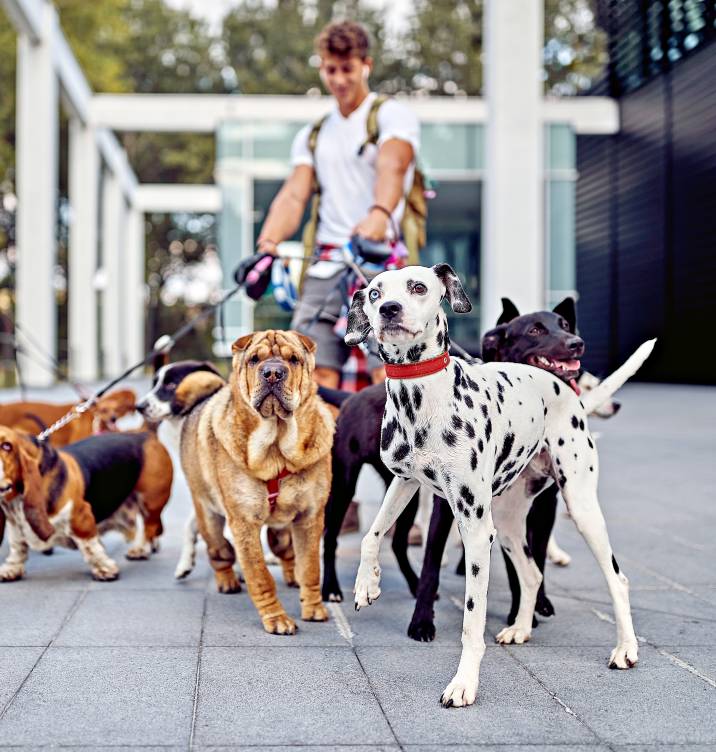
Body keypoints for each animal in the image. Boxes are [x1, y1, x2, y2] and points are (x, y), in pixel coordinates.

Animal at [0, 428, 173, 580]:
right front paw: (11, 569)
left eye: (7, 446)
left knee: (149, 526)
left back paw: (141, 549)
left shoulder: (81, 516)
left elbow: (90, 546)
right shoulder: (14, 523)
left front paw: (104, 568)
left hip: (150, 501)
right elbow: (18, 546)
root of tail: (146, 435)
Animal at [175, 332, 334, 632]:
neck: (276, 449)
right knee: (220, 552)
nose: (272, 372)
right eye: (254, 360)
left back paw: (291, 576)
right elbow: (259, 575)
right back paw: (227, 581)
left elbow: (310, 568)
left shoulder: (310, 516)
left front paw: (314, 608)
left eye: (293, 359)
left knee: (286, 552)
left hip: (283, 527)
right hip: (208, 516)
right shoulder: (244, 522)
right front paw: (277, 618)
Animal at [346, 266, 656, 712]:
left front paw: (463, 684)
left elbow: (472, 621)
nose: (389, 308)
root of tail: (568, 391)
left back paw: (626, 649)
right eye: (373, 292)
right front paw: (366, 584)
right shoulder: (405, 483)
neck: (421, 398)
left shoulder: (475, 532)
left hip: (579, 507)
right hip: (507, 525)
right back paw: (521, 628)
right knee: (531, 573)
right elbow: (372, 534)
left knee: (617, 579)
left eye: (417, 287)